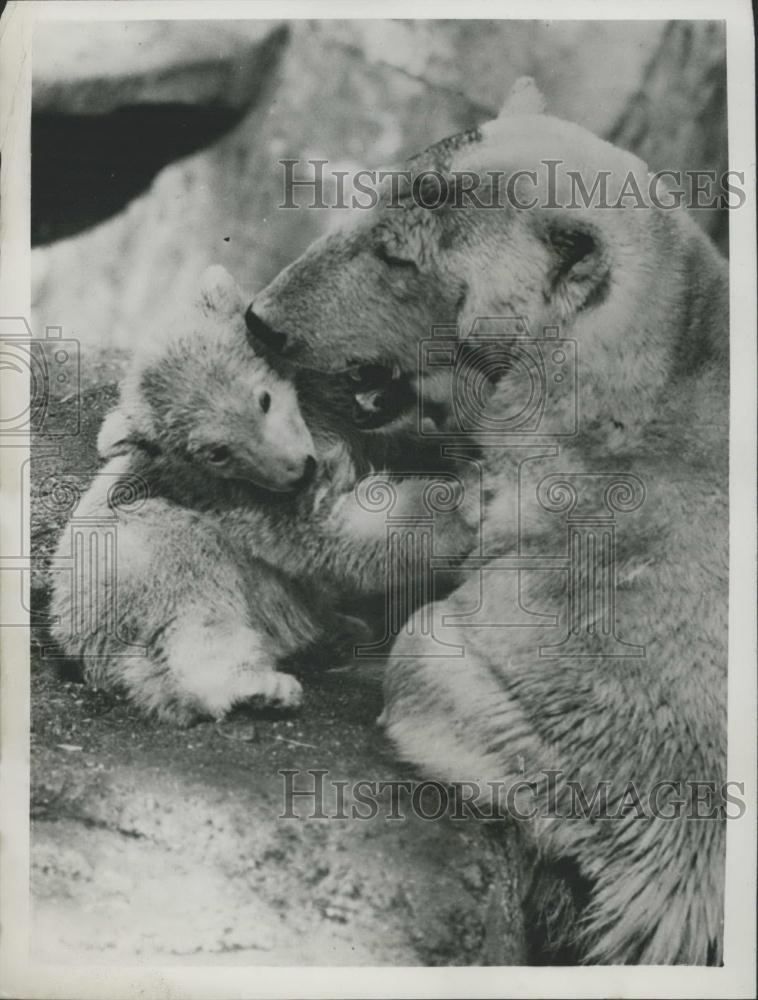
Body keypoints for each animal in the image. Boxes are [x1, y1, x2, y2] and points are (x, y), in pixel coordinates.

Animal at [50, 266, 476, 725]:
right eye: (217, 453)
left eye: (264, 398)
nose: (298, 470)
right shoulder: (241, 496)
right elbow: (332, 528)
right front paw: (468, 502)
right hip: (142, 561)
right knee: (195, 618)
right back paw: (259, 688)